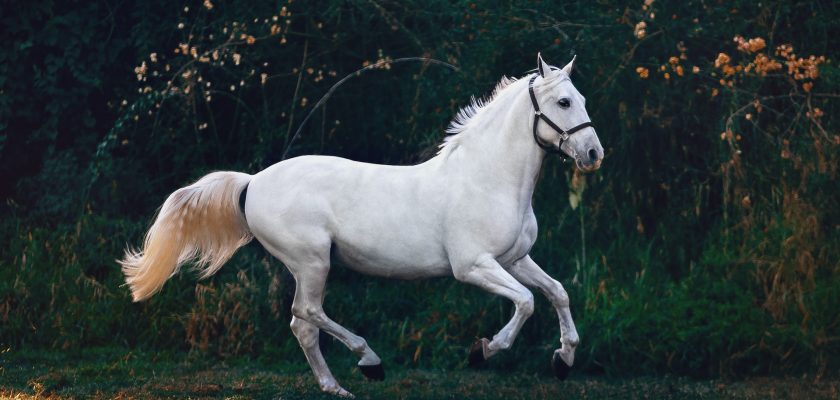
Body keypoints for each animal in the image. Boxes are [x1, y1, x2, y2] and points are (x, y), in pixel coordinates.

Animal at [120, 54, 604, 396]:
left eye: (582, 100)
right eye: (564, 102)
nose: (593, 154)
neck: (487, 178)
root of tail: (252, 182)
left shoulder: (515, 259)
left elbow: (557, 292)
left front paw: (563, 359)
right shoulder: (473, 266)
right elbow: (526, 302)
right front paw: (483, 351)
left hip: (309, 266)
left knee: (302, 325)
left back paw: (336, 387)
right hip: (312, 261)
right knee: (307, 314)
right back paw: (369, 362)